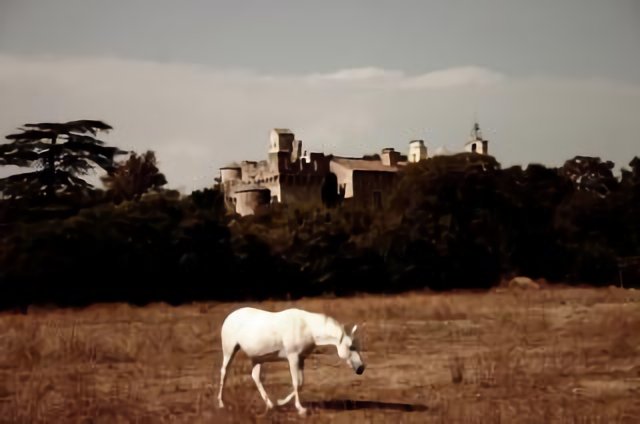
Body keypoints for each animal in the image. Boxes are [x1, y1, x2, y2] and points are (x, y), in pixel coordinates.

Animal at [216, 306, 365, 416]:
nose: (361, 368)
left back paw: (271, 405)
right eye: (351, 347)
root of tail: (230, 316)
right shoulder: (292, 357)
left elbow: (300, 383)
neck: (307, 327)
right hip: (229, 350)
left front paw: (281, 402)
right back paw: (221, 404)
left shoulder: (301, 359)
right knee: (224, 372)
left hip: (257, 358)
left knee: (255, 377)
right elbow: (295, 382)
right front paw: (301, 409)